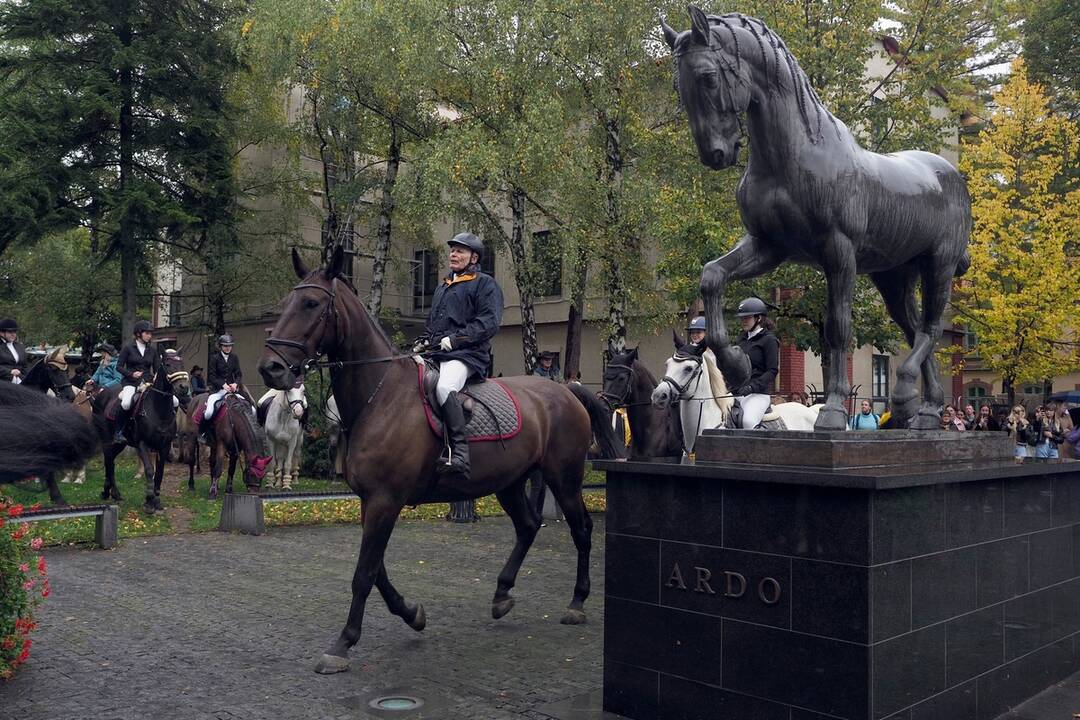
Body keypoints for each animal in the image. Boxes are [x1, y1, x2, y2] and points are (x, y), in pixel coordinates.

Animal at [255, 248, 617, 677]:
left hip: (564, 478)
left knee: (581, 529)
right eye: (284, 304)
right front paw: (412, 613)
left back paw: (577, 602)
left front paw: (342, 643)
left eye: (311, 304)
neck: (380, 396)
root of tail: (566, 389)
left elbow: (364, 573)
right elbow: (377, 570)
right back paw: (502, 594)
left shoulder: (385, 500)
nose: (271, 368)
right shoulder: (370, 501)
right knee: (529, 526)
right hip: (510, 482)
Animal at [660, 8, 976, 431]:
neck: (794, 156)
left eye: (709, 76)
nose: (715, 154)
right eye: (678, 86)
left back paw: (906, 394)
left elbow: (838, 329)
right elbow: (713, 276)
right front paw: (737, 365)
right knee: (914, 331)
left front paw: (833, 410)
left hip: (938, 266)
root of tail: (951, 174)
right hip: (894, 277)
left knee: (931, 328)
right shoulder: (767, 246)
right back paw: (924, 411)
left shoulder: (838, 253)